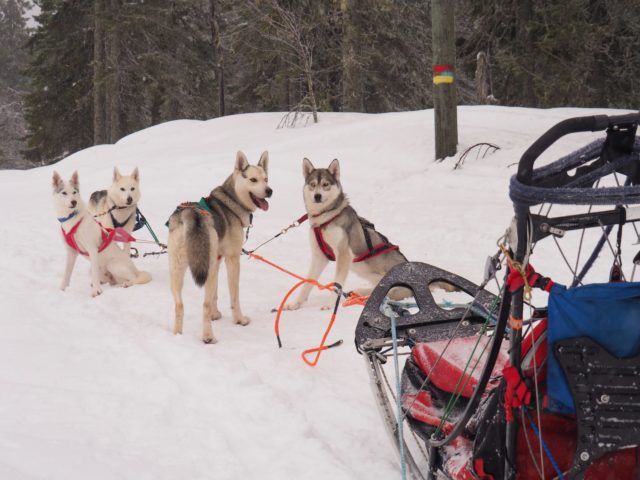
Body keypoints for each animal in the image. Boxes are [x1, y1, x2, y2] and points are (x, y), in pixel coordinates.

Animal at [166, 152, 272, 344]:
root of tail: (190, 214)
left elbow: (215, 293)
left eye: (266, 179)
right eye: (253, 179)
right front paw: (240, 320)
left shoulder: (217, 261)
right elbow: (234, 296)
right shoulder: (232, 259)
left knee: (179, 305)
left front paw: (215, 315)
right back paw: (208, 337)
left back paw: (177, 335)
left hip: (177, 270)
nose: (269, 191)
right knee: (204, 305)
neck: (231, 203)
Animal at [286, 156, 412, 310]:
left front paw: (330, 305)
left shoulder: (343, 254)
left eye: (325, 184)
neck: (325, 218)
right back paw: (359, 293)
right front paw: (296, 303)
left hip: (392, 286)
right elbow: (307, 282)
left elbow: (337, 285)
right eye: (312, 184)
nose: (317, 196)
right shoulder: (319, 256)